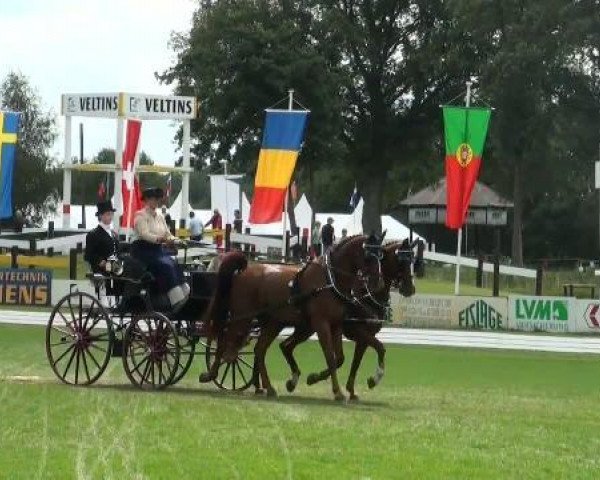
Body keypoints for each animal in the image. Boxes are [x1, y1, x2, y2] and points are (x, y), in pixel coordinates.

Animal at [198, 232, 384, 402]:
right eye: (369, 256)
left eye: (381, 256)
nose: (378, 284)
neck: (329, 280)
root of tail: (245, 268)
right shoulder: (321, 323)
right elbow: (330, 357)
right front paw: (337, 392)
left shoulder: (336, 324)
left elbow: (339, 357)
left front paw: (321, 382)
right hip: (242, 317)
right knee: (225, 339)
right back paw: (211, 374)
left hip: (273, 322)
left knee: (259, 349)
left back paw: (268, 387)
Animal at [280, 238, 424, 400]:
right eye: (402, 260)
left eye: (413, 260)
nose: (410, 289)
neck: (366, 294)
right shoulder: (359, 331)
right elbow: (380, 348)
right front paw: (374, 379)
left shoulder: (364, 338)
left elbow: (355, 362)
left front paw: (350, 389)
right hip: (310, 328)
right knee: (287, 345)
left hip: (306, 329)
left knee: (286, 346)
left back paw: (292, 381)